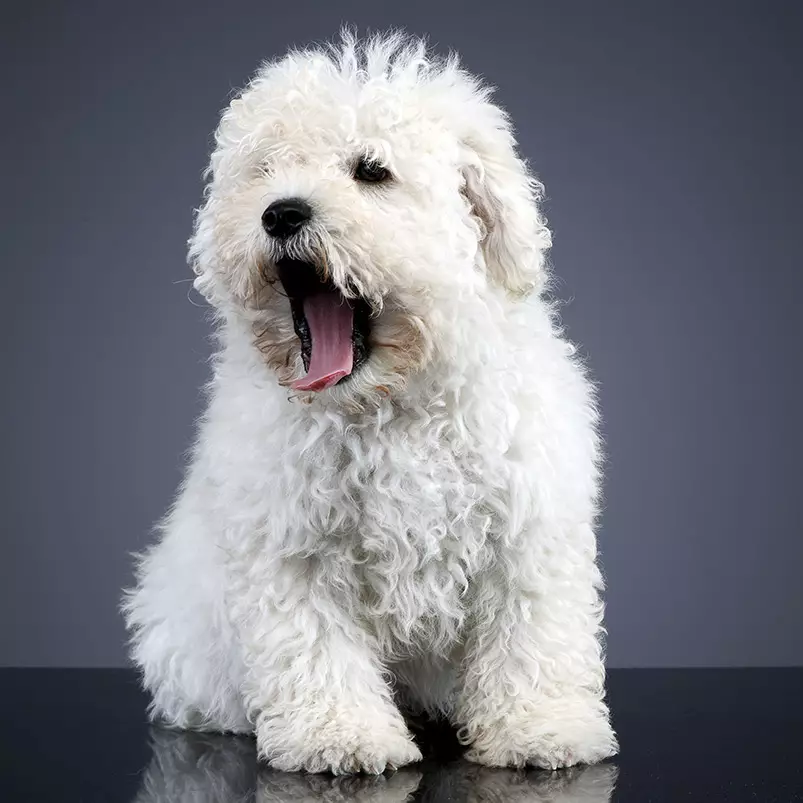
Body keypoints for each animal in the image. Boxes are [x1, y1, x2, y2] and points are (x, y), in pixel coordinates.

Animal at [122, 33, 620, 780]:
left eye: (371, 171)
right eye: (265, 170)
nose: (282, 212)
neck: (390, 402)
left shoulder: (527, 526)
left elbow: (532, 631)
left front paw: (542, 727)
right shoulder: (291, 536)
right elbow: (313, 641)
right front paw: (340, 735)